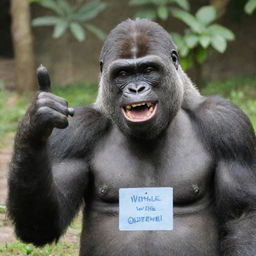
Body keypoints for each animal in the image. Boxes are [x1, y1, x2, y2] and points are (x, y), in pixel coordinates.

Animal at [6, 19, 256, 255]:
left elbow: (243, 216)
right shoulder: (75, 133)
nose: (136, 89)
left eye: (148, 69)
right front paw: (36, 124)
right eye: (123, 74)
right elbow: (44, 225)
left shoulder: (228, 124)